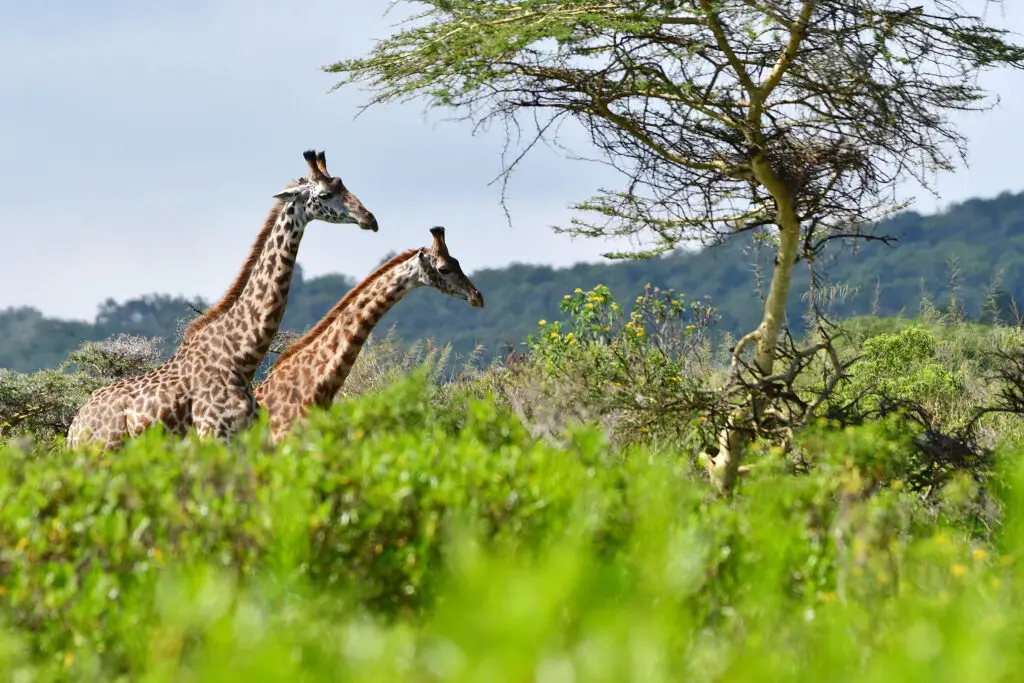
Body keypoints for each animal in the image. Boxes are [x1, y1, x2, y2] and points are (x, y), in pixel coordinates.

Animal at [68, 148, 380, 454]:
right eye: (325, 194)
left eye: (343, 184)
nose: (370, 219)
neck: (240, 359)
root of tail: (74, 429)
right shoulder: (216, 437)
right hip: (103, 451)